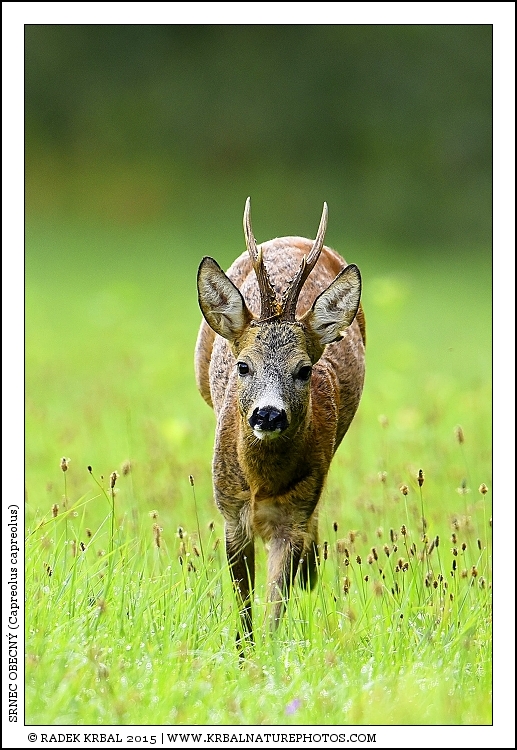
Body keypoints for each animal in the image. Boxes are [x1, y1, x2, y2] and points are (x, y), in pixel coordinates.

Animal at [195, 198, 365, 649]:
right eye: (243, 365)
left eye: (304, 369)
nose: (268, 414)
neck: (261, 484)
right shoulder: (230, 509)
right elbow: (243, 602)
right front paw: (243, 651)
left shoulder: (295, 512)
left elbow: (275, 602)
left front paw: (268, 653)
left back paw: (312, 569)